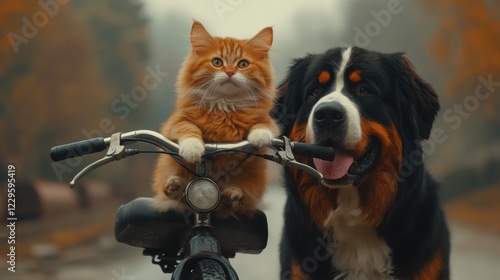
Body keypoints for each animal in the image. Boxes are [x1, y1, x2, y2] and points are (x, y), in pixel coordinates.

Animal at [150, 21, 280, 219]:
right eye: (217, 62)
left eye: (243, 64)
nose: (230, 72)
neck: (224, 107)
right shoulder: (176, 122)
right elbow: (189, 129)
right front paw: (193, 148)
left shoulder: (269, 122)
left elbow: (262, 125)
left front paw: (259, 137)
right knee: (174, 195)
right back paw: (175, 186)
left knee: (240, 200)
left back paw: (232, 194)